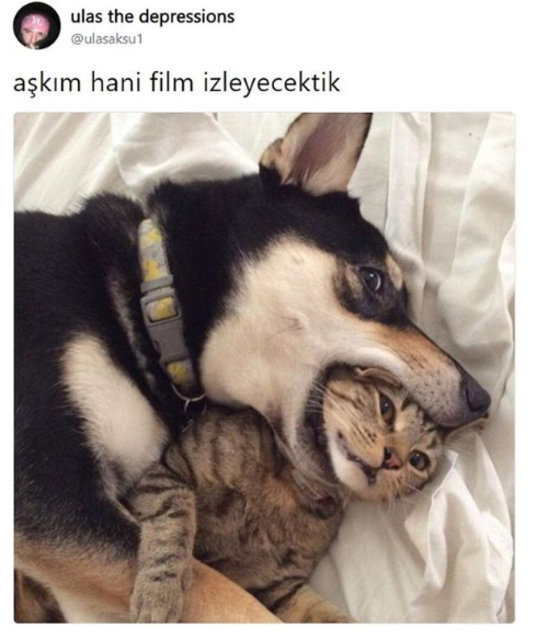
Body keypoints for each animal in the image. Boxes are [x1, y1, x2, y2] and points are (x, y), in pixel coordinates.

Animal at [125, 367, 449, 623]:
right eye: (385, 406)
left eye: (418, 460)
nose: (392, 459)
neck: (294, 484)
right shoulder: (168, 471)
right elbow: (174, 524)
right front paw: (159, 593)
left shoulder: (274, 589)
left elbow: (323, 616)